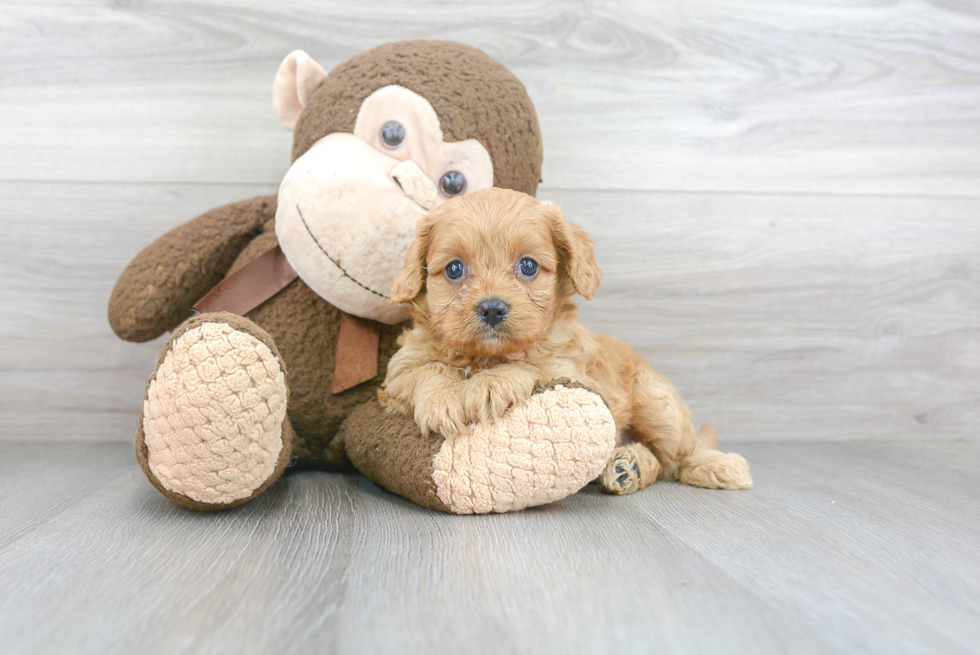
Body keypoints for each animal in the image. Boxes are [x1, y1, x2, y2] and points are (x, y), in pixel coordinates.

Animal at [378, 187, 756, 494]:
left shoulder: (574, 374)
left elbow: (532, 366)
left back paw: (713, 465)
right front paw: (442, 400)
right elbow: (426, 371)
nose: (492, 309)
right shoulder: (397, 374)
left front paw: (490, 384)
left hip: (655, 400)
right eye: (454, 269)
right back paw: (627, 467)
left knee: (676, 458)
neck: (485, 356)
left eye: (528, 266)